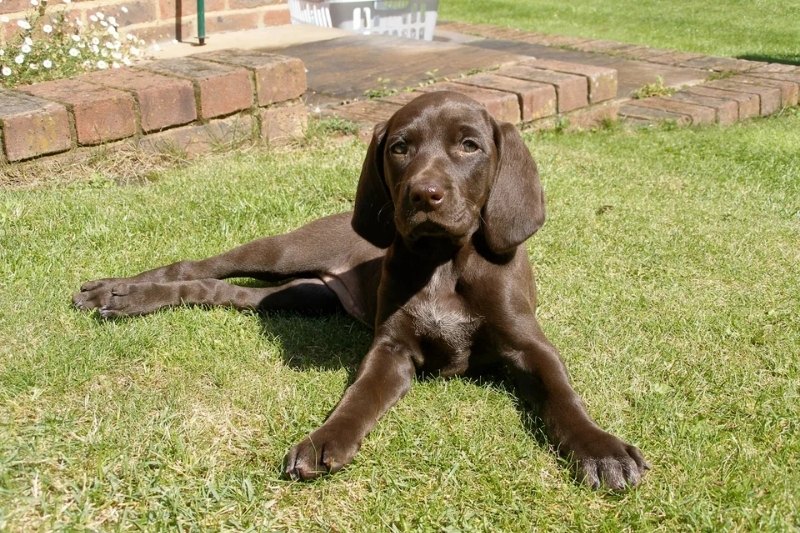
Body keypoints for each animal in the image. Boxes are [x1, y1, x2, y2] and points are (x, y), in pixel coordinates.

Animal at [73, 89, 648, 488]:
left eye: (470, 145)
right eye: (400, 147)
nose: (424, 194)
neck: (442, 261)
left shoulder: (530, 345)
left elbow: (563, 394)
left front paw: (601, 449)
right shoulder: (390, 348)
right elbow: (357, 397)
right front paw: (325, 438)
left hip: (299, 295)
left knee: (224, 292)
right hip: (281, 253)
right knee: (200, 265)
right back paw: (116, 292)